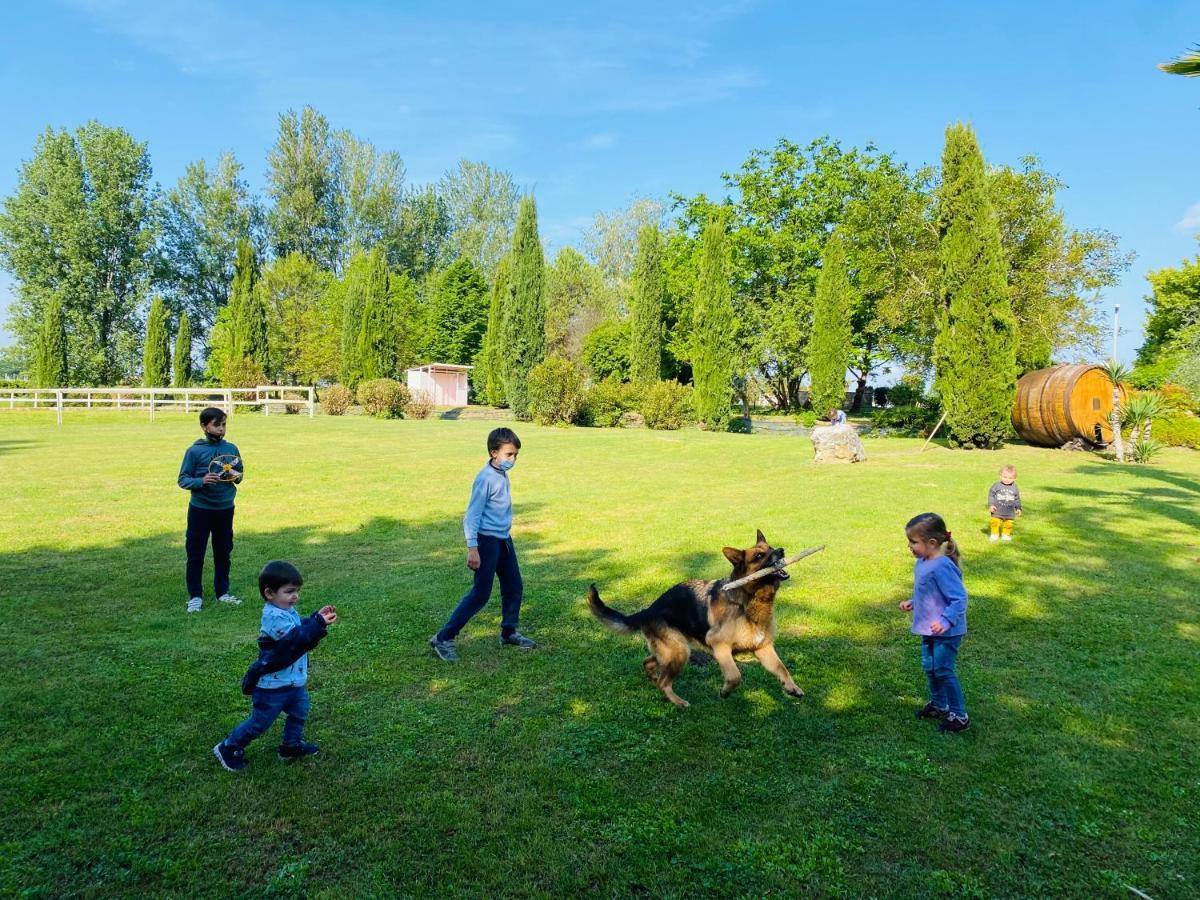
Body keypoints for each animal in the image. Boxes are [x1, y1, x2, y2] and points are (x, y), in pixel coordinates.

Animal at [585, 528, 801, 710]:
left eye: (771, 548)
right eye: (759, 556)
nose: (781, 551)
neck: (748, 599)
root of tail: (648, 610)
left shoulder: (763, 648)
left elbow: (782, 668)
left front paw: (792, 687)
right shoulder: (720, 646)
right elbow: (735, 676)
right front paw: (725, 691)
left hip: (671, 652)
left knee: (649, 663)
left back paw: (655, 682)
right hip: (680, 652)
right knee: (664, 681)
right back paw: (677, 701)